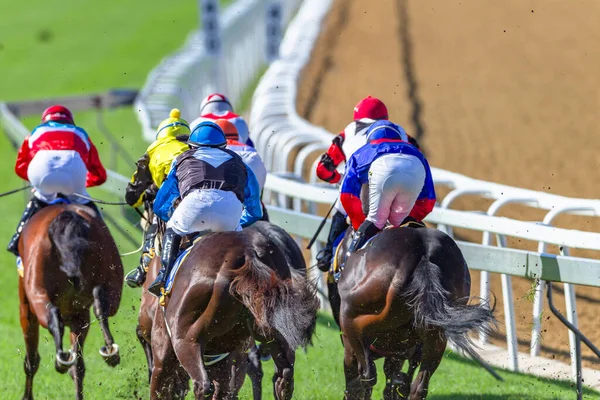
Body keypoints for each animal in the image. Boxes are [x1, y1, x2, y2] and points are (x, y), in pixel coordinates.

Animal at [17, 205, 123, 400]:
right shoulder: (79, 317)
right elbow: (78, 367)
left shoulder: (26, 311)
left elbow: (32, 360)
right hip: (112, 282)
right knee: (101, 305)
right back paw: (110, 349)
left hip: (36, 295)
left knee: (52, 318)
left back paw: (61, 358)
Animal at [145, 220, 318, 398]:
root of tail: (249, 253)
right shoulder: (221, 360)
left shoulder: (163, 357)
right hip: (272, 333)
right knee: (284, 377)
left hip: (186, 341)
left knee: (203, 385)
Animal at [330, 225, 500, 400]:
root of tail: (423, 255)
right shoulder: (399, 351)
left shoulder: (352, 348)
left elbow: (357, 384)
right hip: (436, 338)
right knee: (418, 386)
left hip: (354, 322)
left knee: (367, 376)